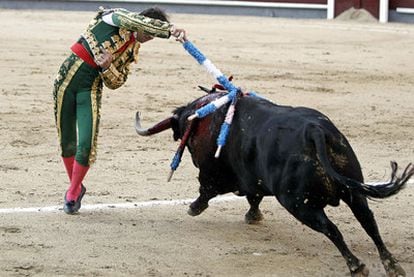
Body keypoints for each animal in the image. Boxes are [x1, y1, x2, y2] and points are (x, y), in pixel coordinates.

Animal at [134, 89, 412, 276]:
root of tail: (314, 132)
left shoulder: (214, 174)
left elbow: (207, 190)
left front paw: (194, 208)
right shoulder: (253, 180)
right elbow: (253, 197)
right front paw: (253, 216)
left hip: (298, 203)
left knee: (331, 228)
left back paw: (356, 266)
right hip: (354, 190)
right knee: (369, 222)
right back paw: (391, 265)